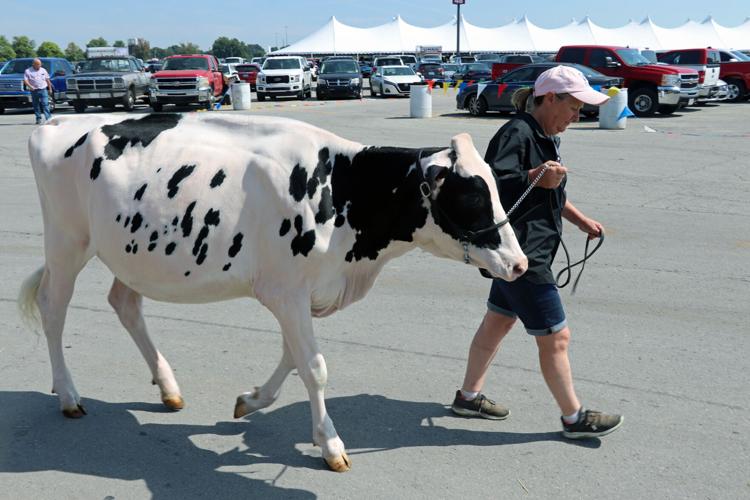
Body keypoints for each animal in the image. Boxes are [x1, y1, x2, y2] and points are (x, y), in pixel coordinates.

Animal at [18, 112, 527, 472]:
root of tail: (59, 122)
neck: (342, 188)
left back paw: (168, 389)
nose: (519, 264)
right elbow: (315, 367)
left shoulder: (299, 291)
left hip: (129, 250)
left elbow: (293, 358)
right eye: (472, 196)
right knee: (53, 306)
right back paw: (68, 396)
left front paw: (251, 401)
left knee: (125, 305)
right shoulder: (286, 290)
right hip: (67, 241)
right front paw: (331, 445)